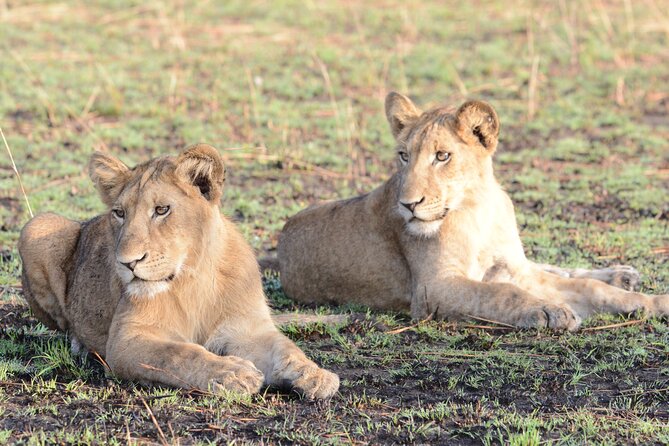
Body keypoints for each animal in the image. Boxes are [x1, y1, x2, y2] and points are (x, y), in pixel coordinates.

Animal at [18, 144, 339, 399]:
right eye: (119, 213)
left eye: (162, 210)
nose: (127, 262)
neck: (192, 276)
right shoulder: (125, 340)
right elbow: (179, 354)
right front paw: (233, 373)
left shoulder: (247, 329)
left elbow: (286, 348)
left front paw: (315, 375)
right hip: (37, 225)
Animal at [276, 93, 668, 330]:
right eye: (403, 155)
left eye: (442, 156)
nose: (408, 205)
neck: (479, 209)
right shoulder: (433, 288)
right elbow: (499, 293)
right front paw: (549, 310)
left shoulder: (514, 270)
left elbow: (590, 288)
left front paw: (652, 302)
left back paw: (622, 274)